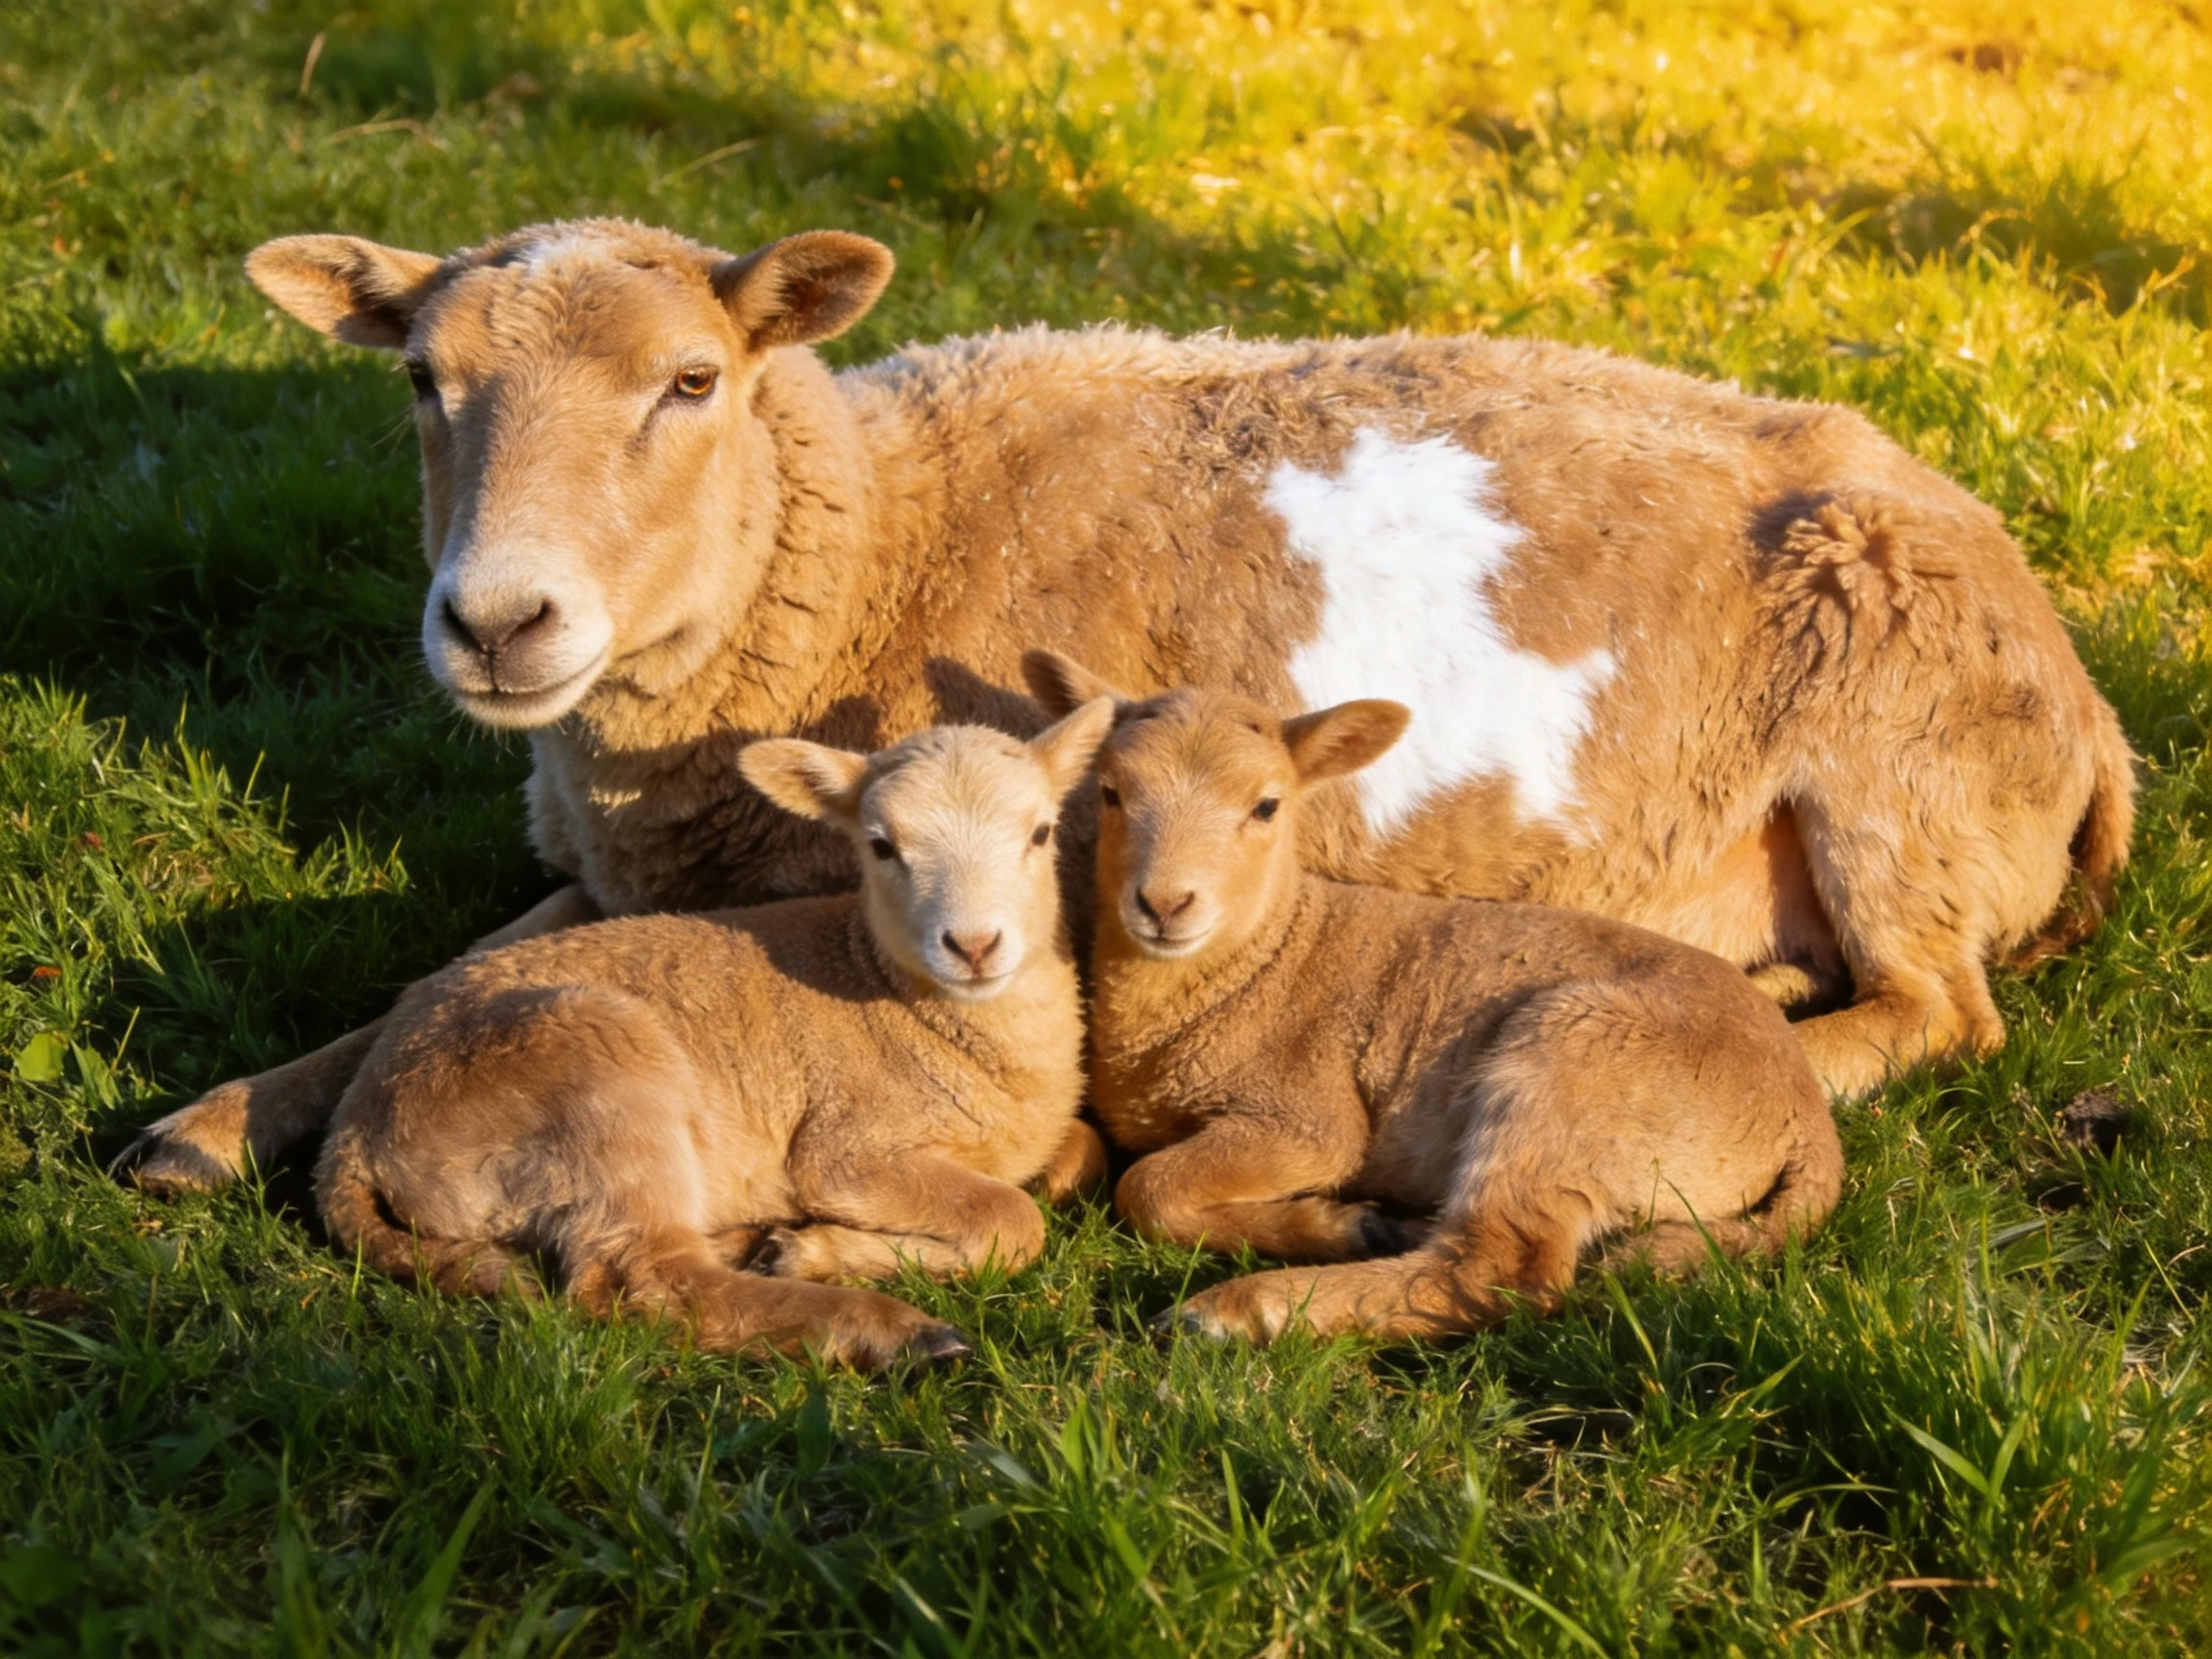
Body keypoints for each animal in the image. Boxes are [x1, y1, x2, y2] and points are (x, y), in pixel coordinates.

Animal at [122, 215, 2129, 1193]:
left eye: (691, 381)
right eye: (420, 385)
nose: (496, 620)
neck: (872, 535)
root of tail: (2087, 711)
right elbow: (432, 980)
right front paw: (211, 1122)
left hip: (1898, 777)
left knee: (1939, 1012)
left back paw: (1777, 1023)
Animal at [311, 700, 1115, 1370]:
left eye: (1040, 832)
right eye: (881, 846)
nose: (974, 945)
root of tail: (352, 1134)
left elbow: (1078, 1155)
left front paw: (807, 1245)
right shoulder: (848, 1151)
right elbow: (1011, 1218)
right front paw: (834, 1249)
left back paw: (762, 1244)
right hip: (596, 1081)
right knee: (646, 1282)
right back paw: (890, 1331)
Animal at [1029, 650, 1842, 1343]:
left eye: (1265, 807)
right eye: (1110, 793)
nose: (1164, 904)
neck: (1263, 958)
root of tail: (1806, 1115)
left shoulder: (1304, 1116)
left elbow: (1149, 1187)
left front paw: (1333, 1223)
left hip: (1574, 1070)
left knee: (1497, 1271)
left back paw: (1241, 1309)